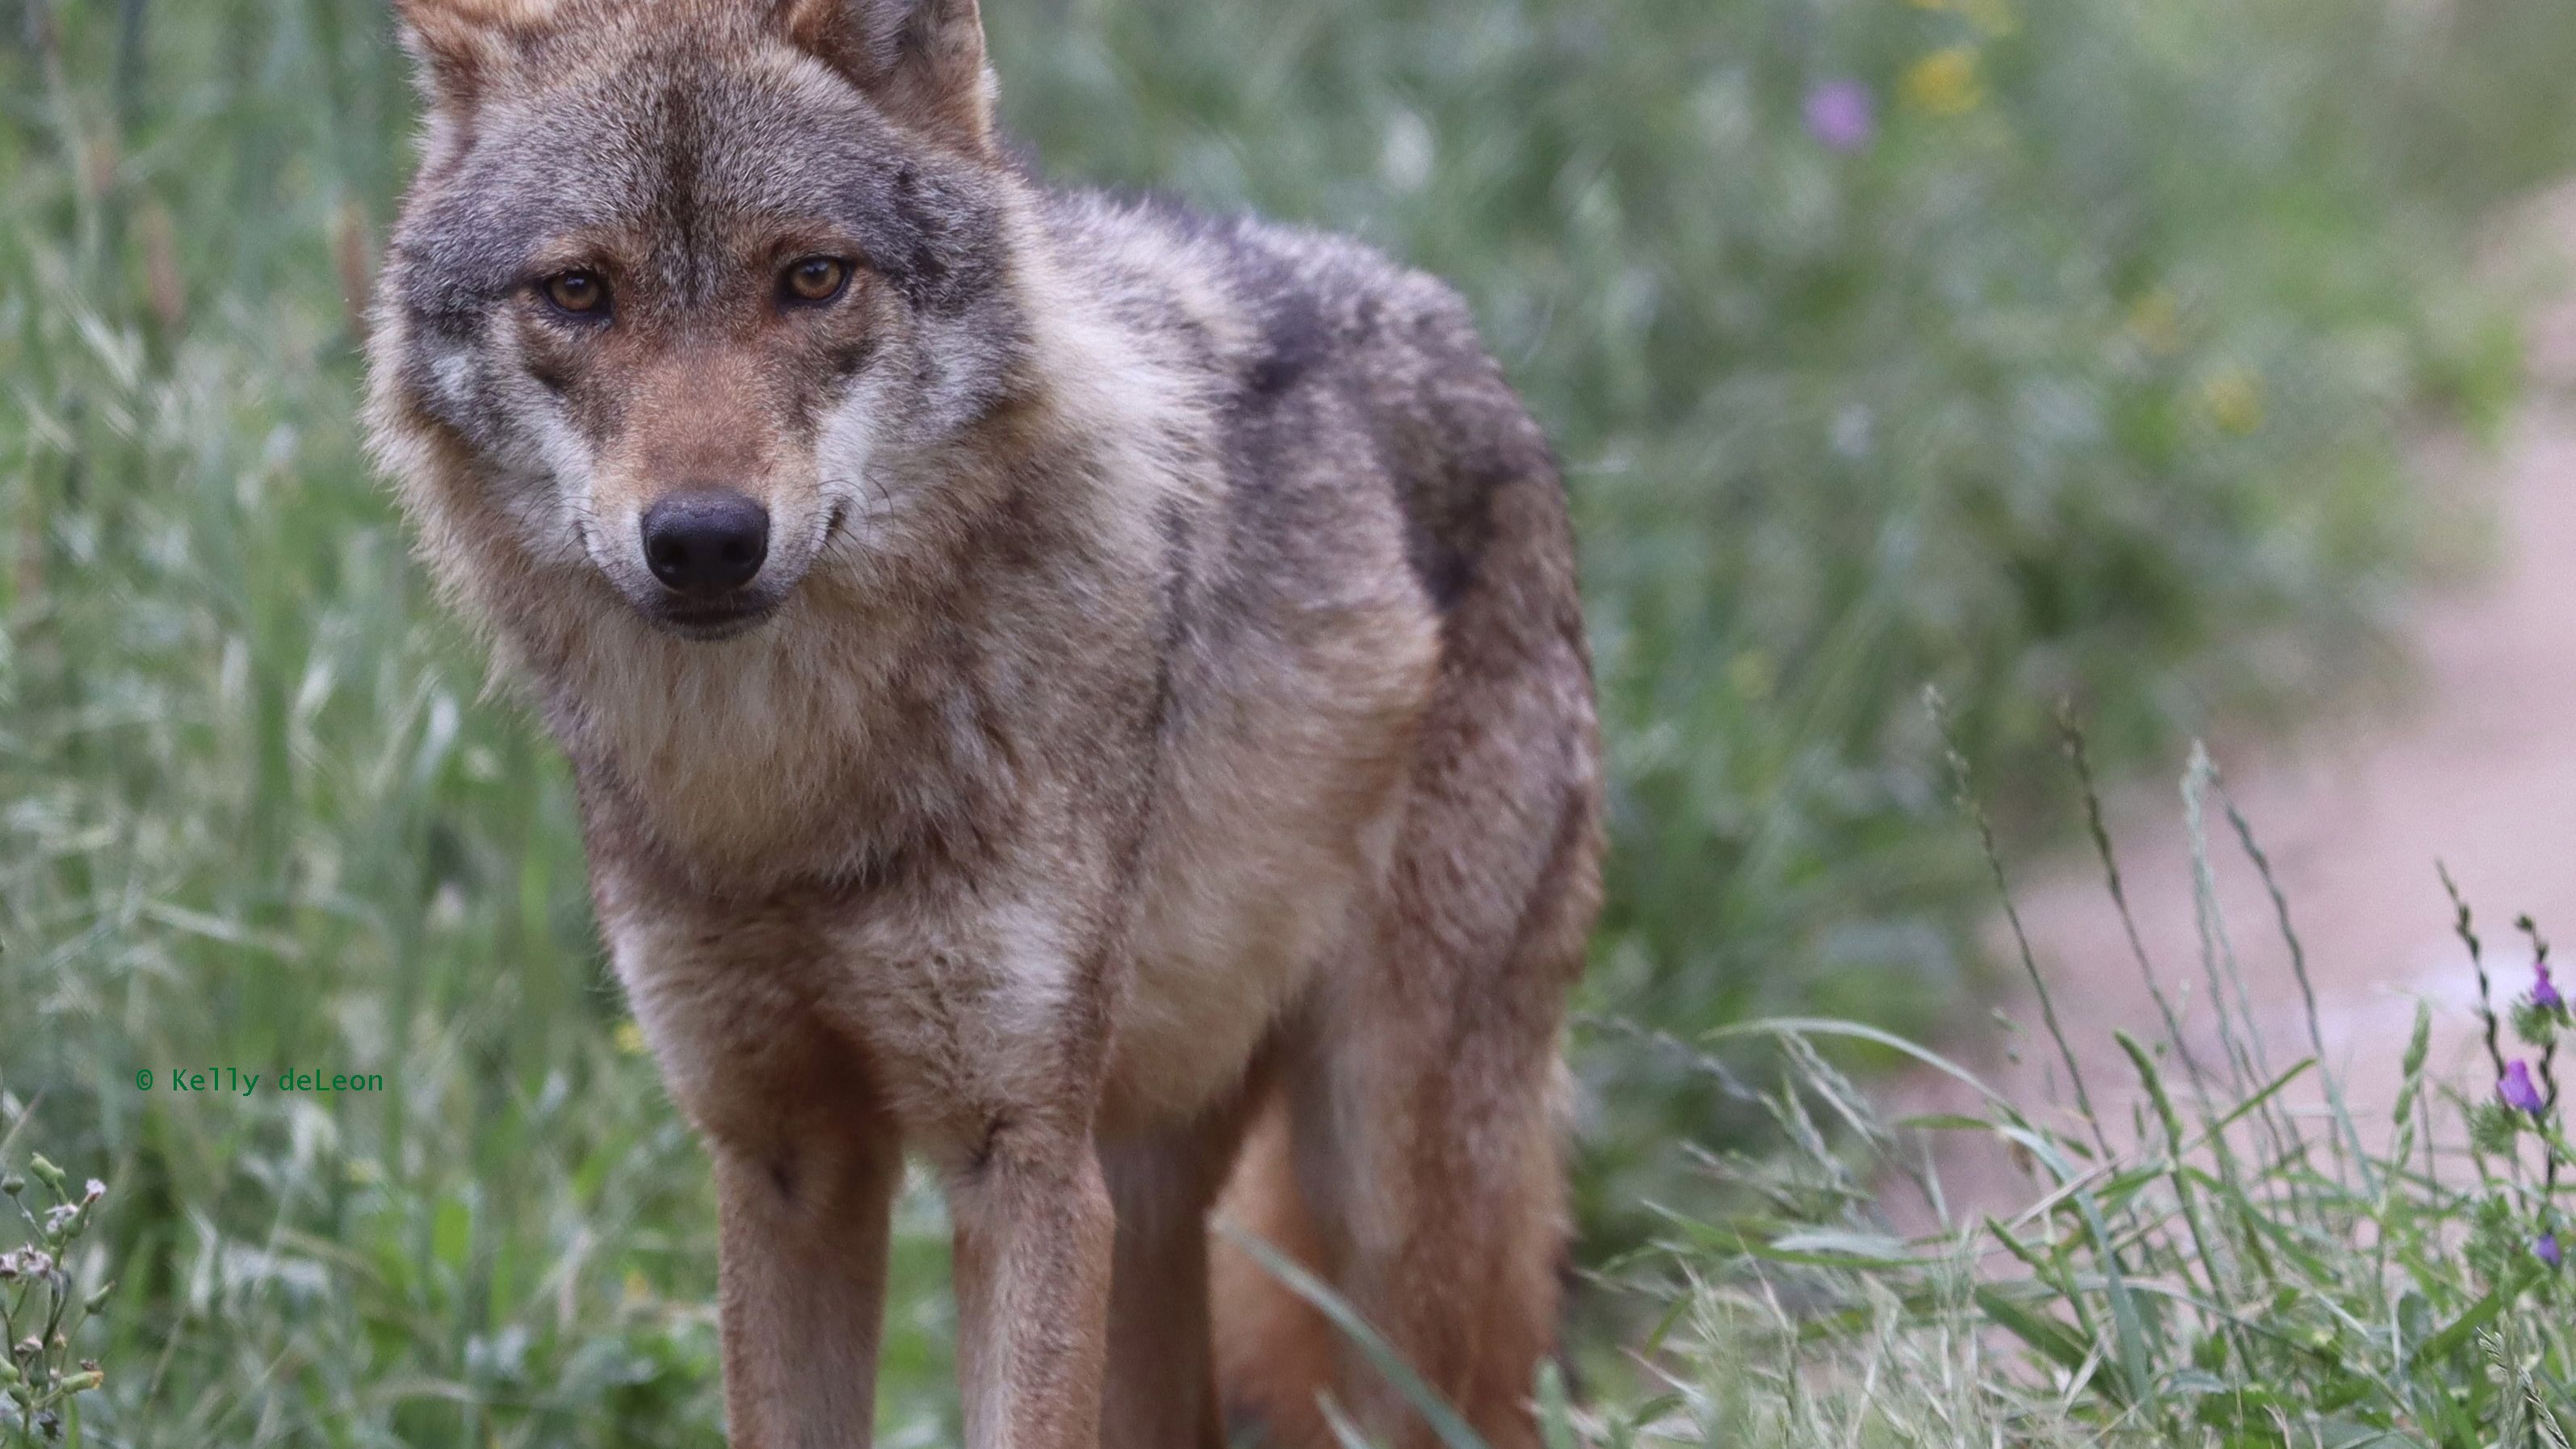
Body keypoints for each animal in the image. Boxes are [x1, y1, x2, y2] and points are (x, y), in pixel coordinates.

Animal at [368, 5, 1607, 1433]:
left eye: (812, 278)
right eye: (578, 292)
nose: (706, 541)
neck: (790, 796)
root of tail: (1462, 340)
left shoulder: (1020, 1159)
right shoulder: (782, 1157)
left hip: (1389, 1212)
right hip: (1155, 1189)